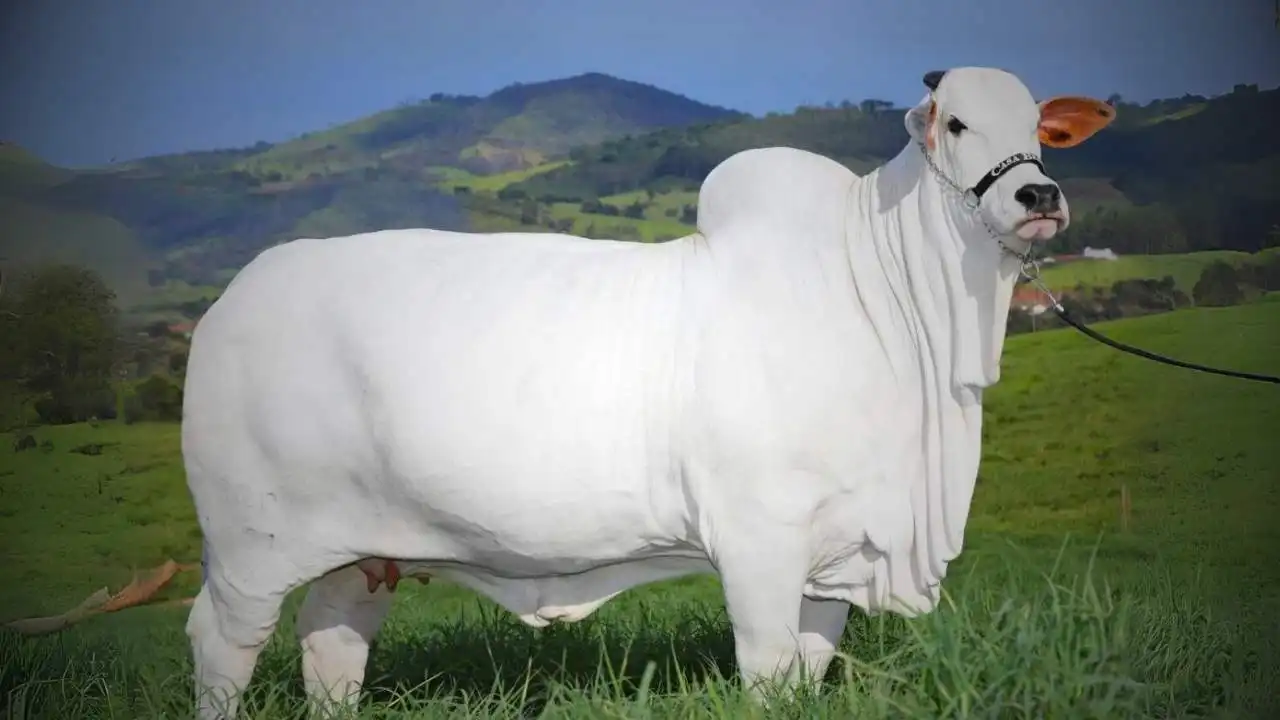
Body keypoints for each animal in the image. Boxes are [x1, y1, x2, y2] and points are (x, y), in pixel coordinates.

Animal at [181, 66, 1115, 718]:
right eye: (956, 121)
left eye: (1040, 130)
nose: (1038, 194)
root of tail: (229, 303)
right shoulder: (759, 543)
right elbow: (769, 673)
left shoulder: (834, 558)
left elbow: (808, 672)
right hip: (251, 547)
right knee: (220, 647)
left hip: (361, 554)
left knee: (332, 646)